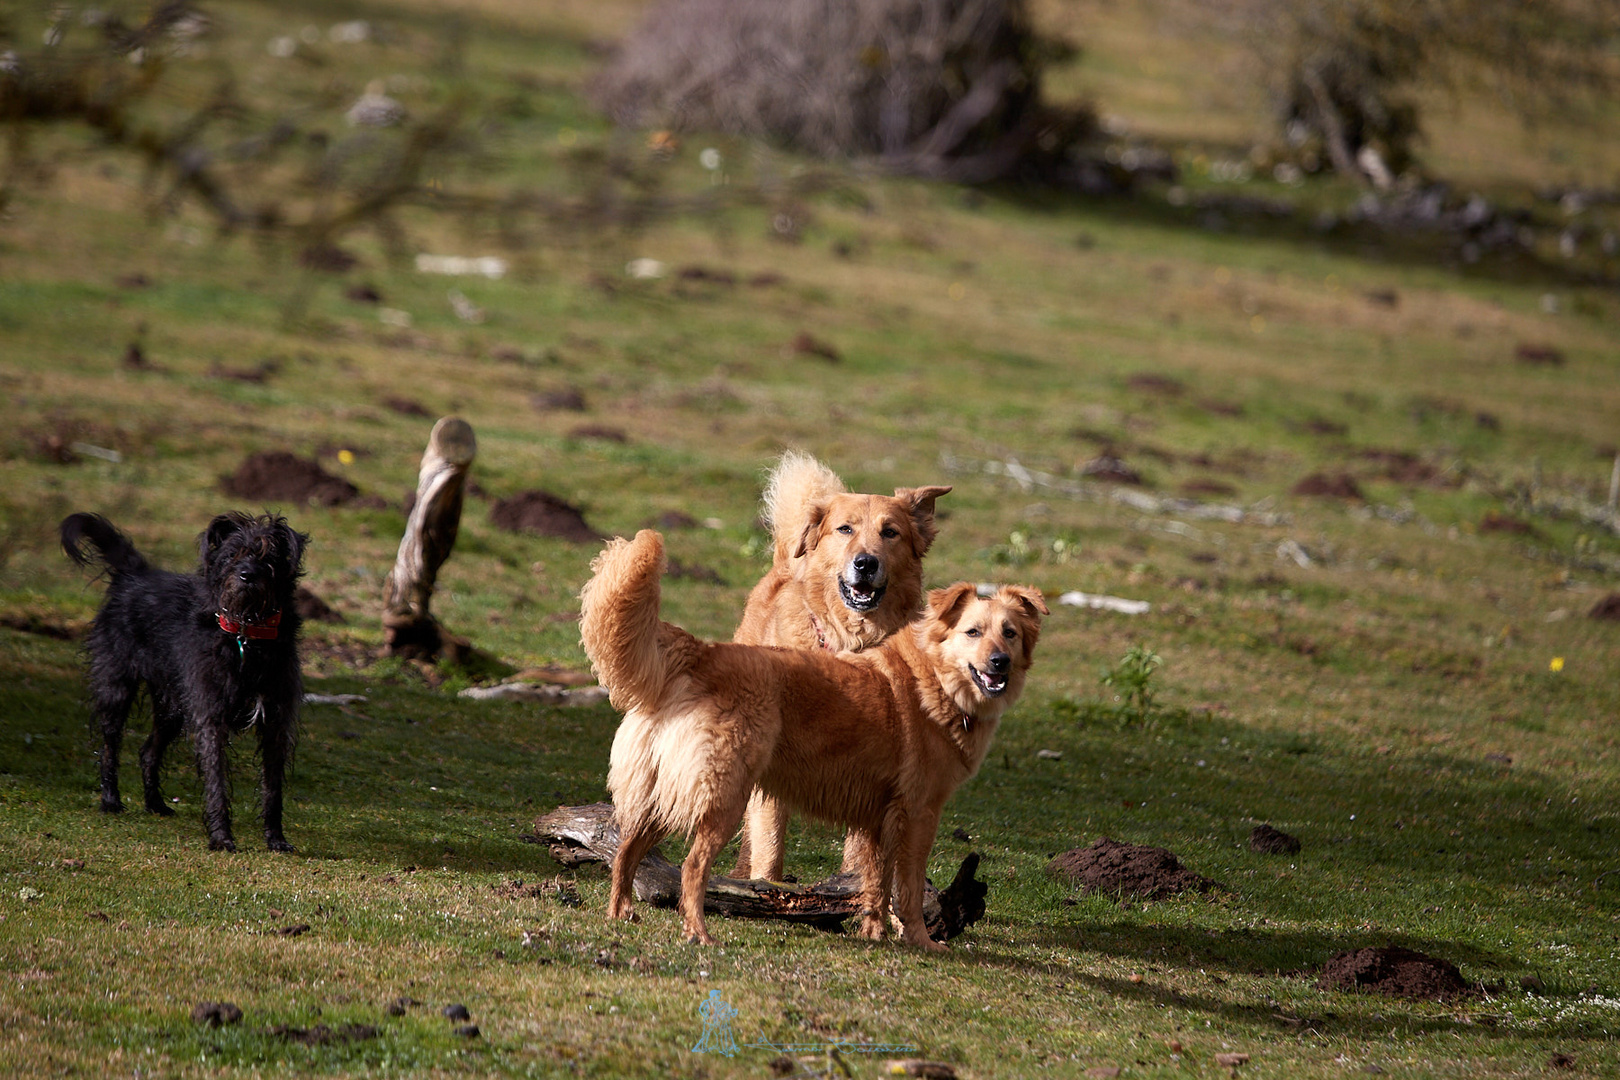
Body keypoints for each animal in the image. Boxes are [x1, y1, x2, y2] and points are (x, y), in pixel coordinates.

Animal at [61, 514, 307, 854]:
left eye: (268, 556)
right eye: (232, 554)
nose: (247, 575)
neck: (247, 636)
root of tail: (135, 573)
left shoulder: (275, 721)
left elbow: (273, 787)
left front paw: (276, 839)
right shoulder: (210, 717)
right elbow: (216, 781)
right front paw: (221, 838)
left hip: (172, 707)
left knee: (148, 751)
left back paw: (155, 804)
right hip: (116, 687)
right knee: (110, 744)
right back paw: (110, 800)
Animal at [583, 527, 1049, 952]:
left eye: (1009, 633)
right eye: (973, 632)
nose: (1000, 663)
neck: (935, 680)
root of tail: (702, 652)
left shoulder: (880, 818)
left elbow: (876, 882)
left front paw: (874, 933)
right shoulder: (919, 814)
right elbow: (909, 889)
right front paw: (920, 940)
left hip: (663, 795)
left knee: (626, 851)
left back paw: (621, 913)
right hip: (724, 798)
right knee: (692, 867)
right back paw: (698, 932)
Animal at [729, 453, 946, 880]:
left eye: (890, 533)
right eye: (845, 529)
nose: (866, 563)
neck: (850, 642)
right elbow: (769, 841)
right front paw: (765, 887)